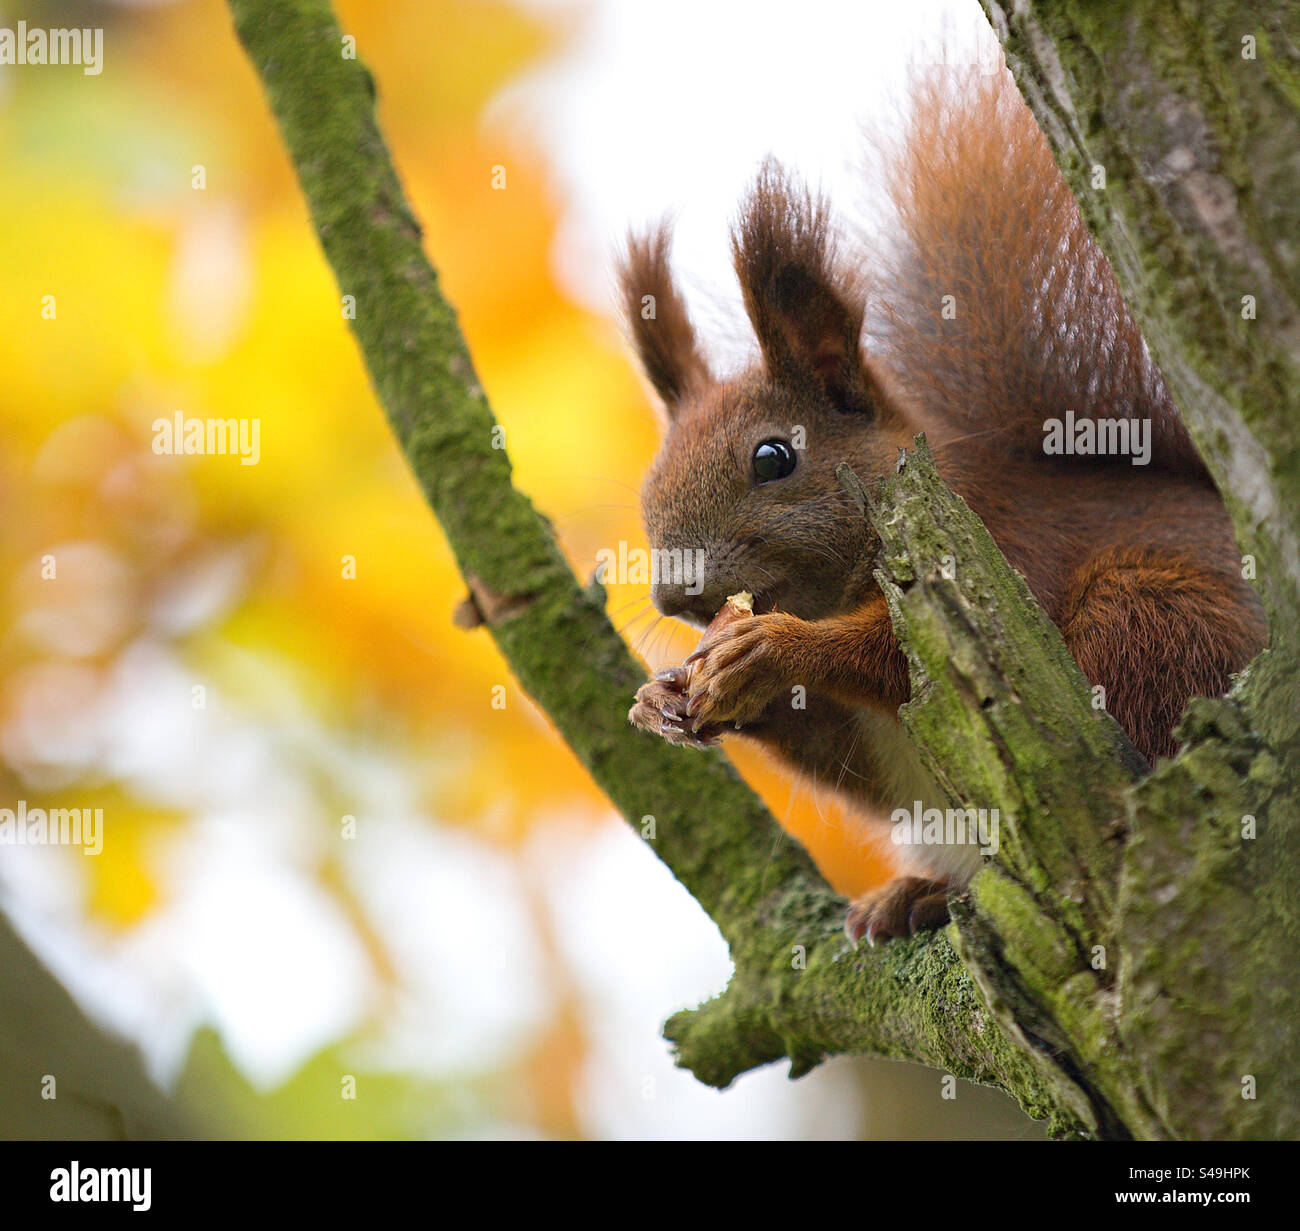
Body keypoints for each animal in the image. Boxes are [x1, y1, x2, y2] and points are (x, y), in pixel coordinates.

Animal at [619, 64, 1266, 944]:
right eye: (647, 490)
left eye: (772, 458)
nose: (673, 594)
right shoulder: (870, 744)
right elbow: (842, 757)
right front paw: (663, 697)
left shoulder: (997, 549)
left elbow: (903, 661)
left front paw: (774, 648)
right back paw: (913, 894)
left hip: (1152, 615)